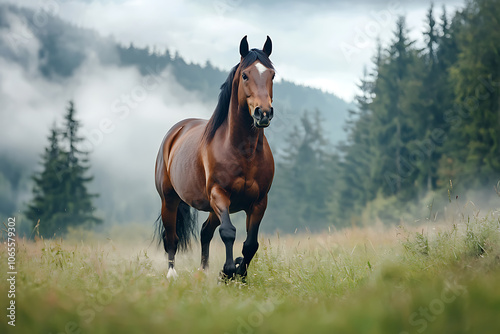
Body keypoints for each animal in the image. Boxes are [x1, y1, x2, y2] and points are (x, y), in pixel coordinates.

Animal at [154, 35, 276, 280]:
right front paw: (228, 272)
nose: (264, 113)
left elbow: (250, 244)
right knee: (171, 237)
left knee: (205, 232)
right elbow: (228, 232)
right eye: (245, 75)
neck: (243, 151)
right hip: (169, 200)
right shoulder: (219, 194)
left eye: (272, 75)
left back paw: (204, 271)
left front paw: (239, 273)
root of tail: (175, 132)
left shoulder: (259, 202)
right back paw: (172, 274)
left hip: (211, 208)